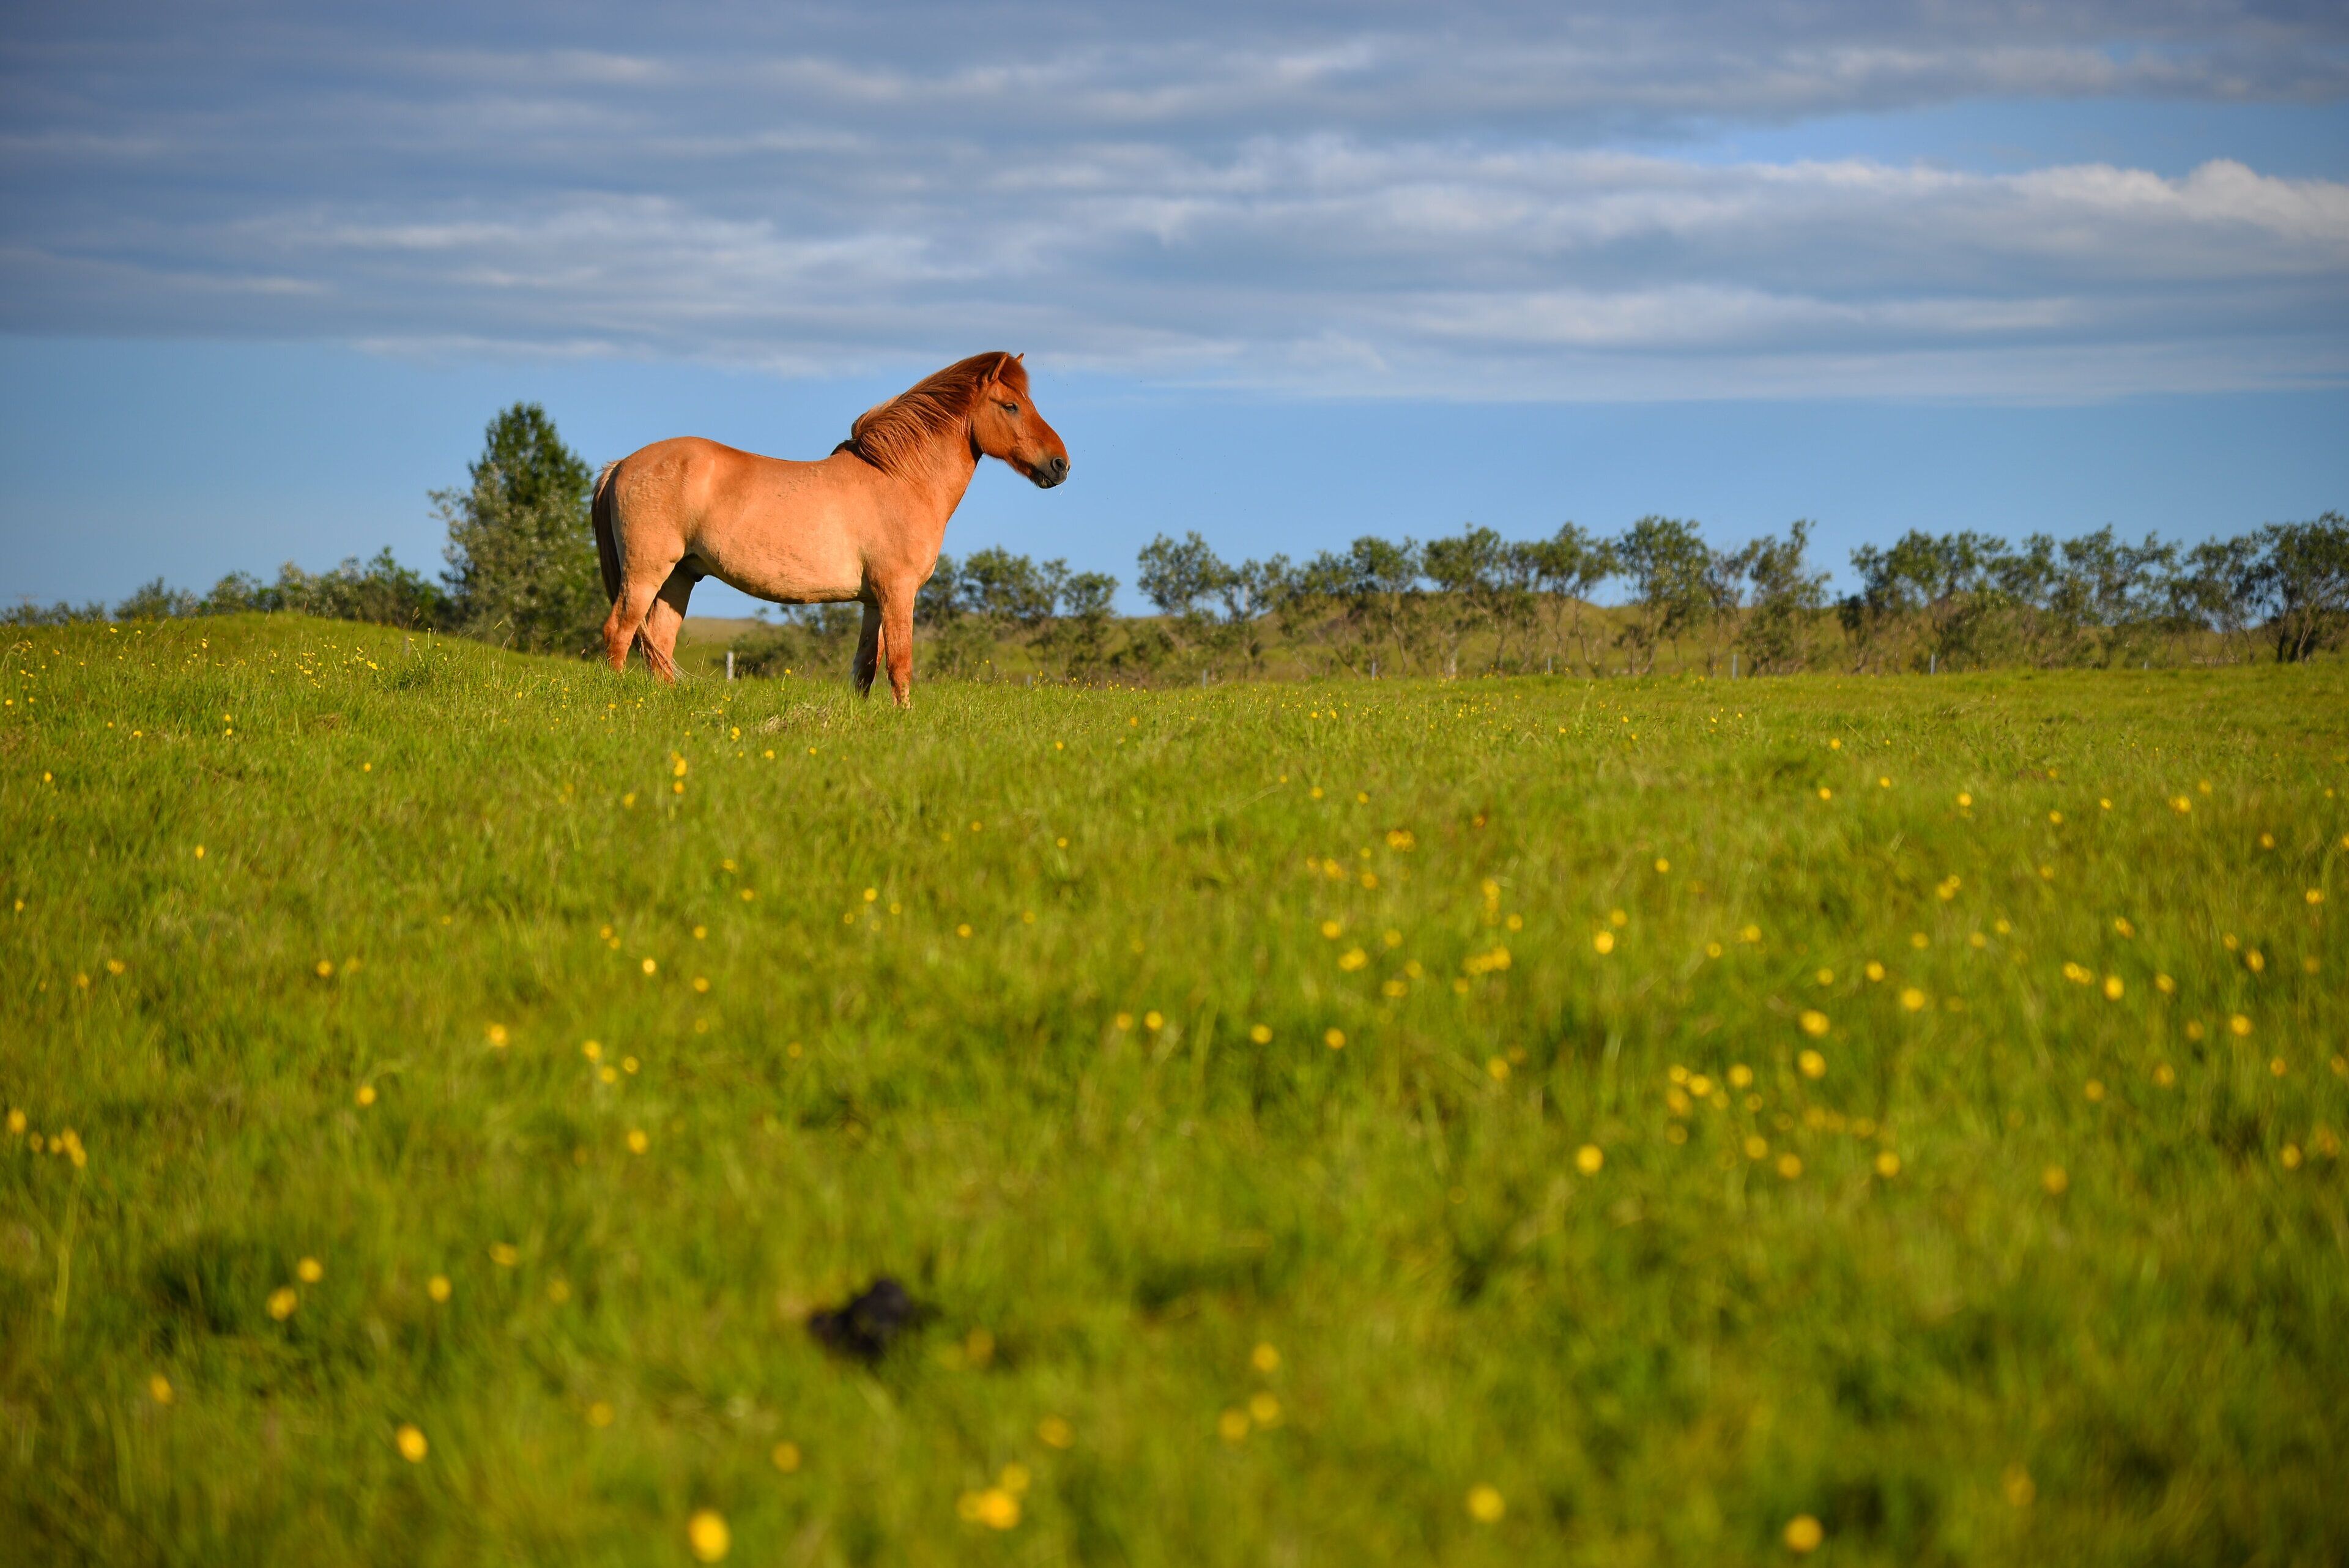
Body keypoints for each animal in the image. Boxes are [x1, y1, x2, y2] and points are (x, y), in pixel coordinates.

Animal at [591, 351, 1068, 705]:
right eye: (1011, 406)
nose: (1060, 464)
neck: (900, 479)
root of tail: (622, 465)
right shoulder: (899, 592)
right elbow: (900, 665)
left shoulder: (874, 601)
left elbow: (865, 670)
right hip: (647, 571)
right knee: (621, 632)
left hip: (681, 576)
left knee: (658, 645)